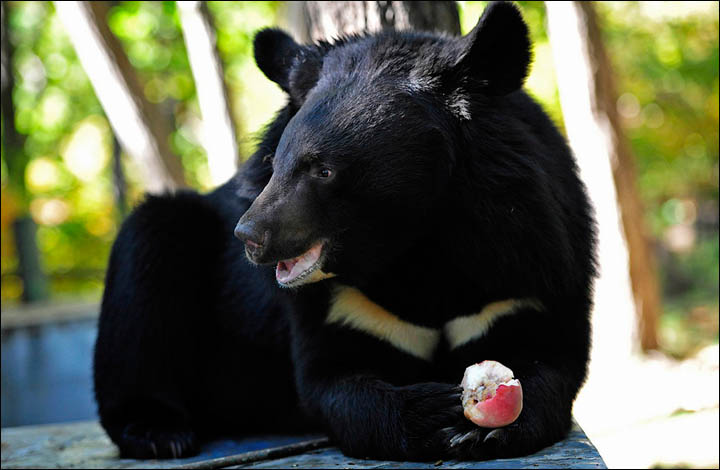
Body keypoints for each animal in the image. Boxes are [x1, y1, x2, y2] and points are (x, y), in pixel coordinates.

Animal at [94, 0, 596, 460]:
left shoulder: (530, 260)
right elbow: (331, 381)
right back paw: (158, 431)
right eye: (274, 162)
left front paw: (490, 428)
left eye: (324, 170)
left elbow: (554, 356)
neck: (415, 245)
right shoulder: (336, 306)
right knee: (144, 268)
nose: (250, 236)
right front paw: (430, 410)